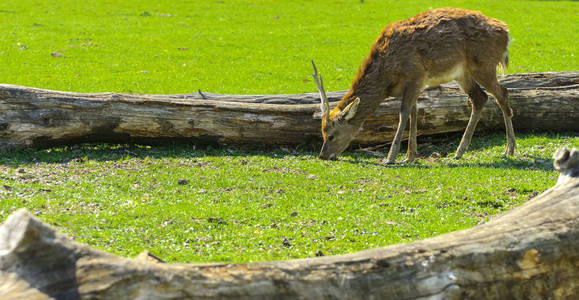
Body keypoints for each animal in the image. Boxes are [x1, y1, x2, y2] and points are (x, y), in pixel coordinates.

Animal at [314, 7, 516, 163]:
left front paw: (391, 157)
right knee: (480, 98)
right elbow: (414, 112)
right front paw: (409, 156)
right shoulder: (416, 85)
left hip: (484, 65)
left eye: (331, 135)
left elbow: (403, 113)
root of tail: (506, 33)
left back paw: (510, 149)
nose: (322, 156)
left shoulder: (415, 75)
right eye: (321, 133)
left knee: (502, 93)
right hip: (462, 74)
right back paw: (459, 152)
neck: (386, 77)